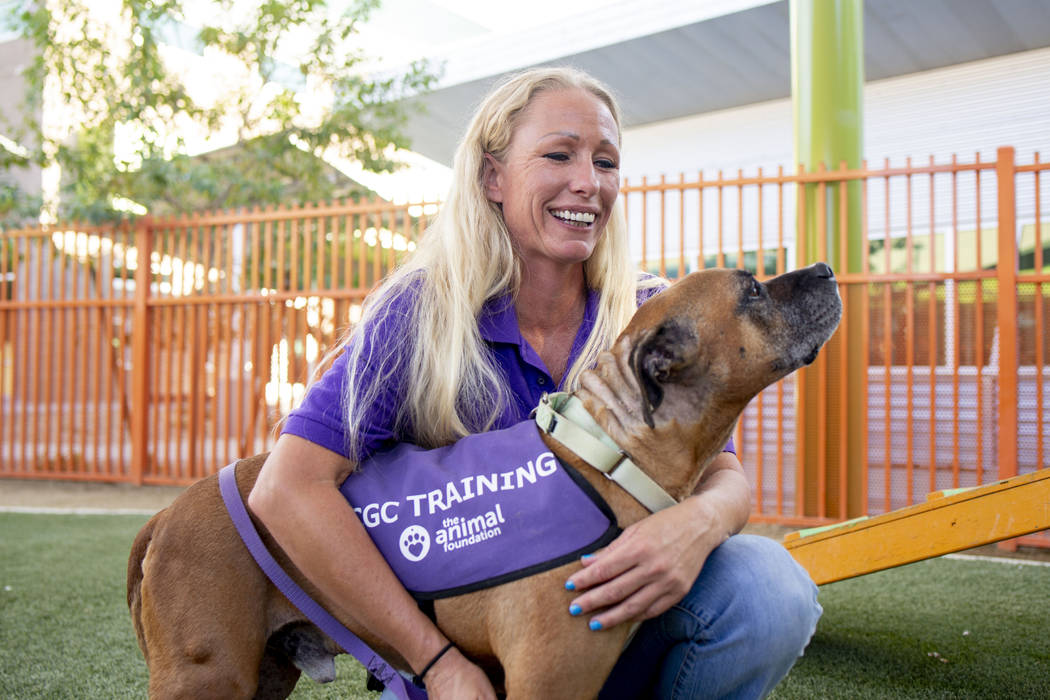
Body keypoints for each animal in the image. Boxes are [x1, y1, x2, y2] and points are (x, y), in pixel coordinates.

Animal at [127, 264, 839, 700]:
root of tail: (164, 516)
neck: (607, 458)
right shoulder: (549, 684)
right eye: (751, 291)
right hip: (207, 679)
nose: (827, 270)